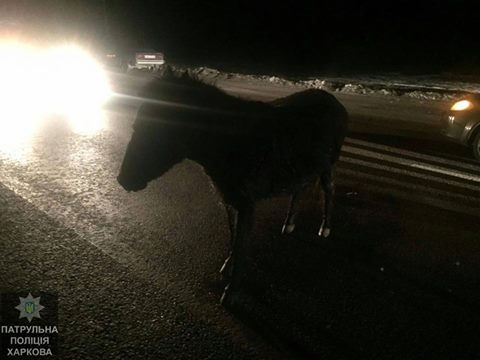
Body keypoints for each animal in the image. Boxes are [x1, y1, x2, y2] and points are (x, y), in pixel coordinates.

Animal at [116, 68, 348, 304]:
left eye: (158, 128)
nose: (123, 179)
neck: (227, 142)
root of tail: (335, 102)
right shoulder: (229, 198)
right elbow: (233, 234)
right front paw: (227, 268)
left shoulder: (247, 203)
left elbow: (241, 242)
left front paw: (230, 293)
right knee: (301, 189)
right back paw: (289, 225)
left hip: (329, 165)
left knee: (329, 189)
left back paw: (324, 229)